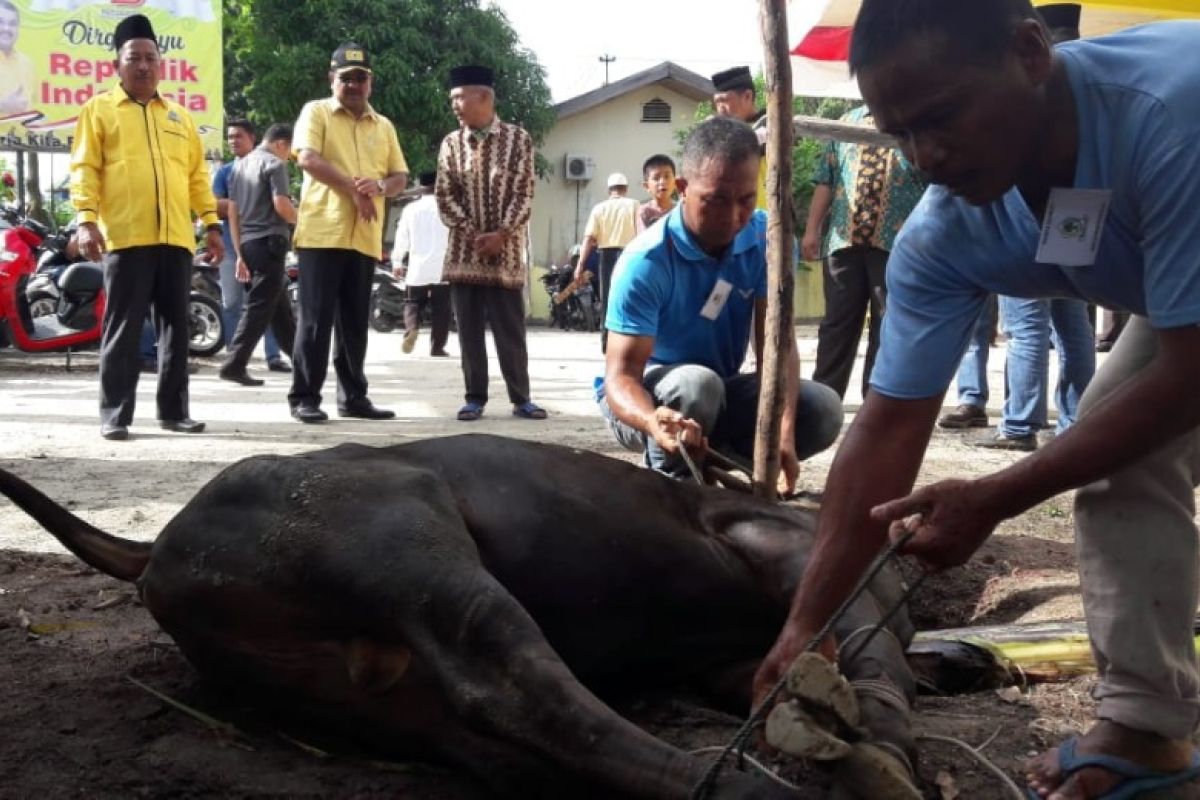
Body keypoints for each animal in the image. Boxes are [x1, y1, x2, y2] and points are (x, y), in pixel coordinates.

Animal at [0, 438, 916, 800]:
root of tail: (154, 546)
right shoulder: (790, 551)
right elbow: (869, 641)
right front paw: (883, 737)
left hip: (369, 697)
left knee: (511, 749)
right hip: (422, 556)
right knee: (525, 695)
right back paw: (745, 789)